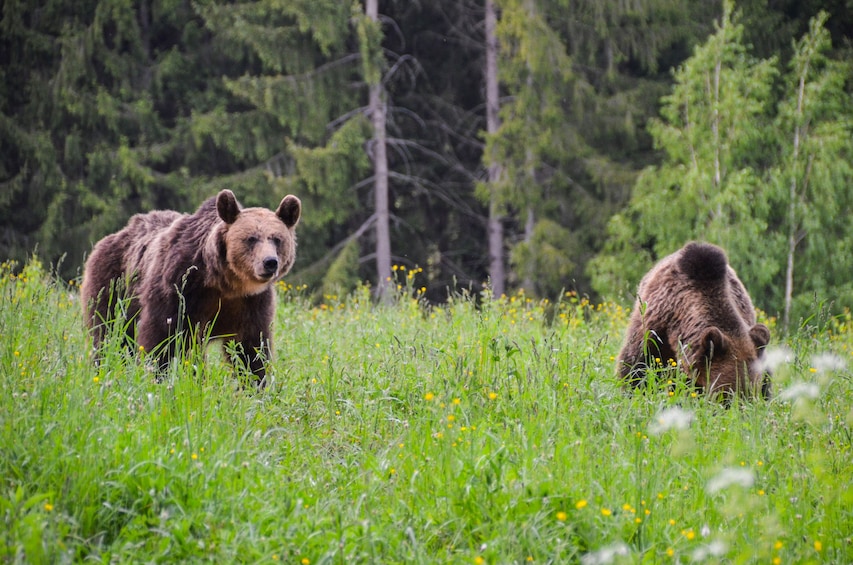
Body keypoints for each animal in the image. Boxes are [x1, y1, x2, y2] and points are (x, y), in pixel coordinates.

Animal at [80, 188, 300, 384]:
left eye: (277, 239)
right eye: (251, 239)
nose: (269, 262)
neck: (225, 282)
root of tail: (115, 235)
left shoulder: (251, 303)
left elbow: (251, 348)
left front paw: (255, 384)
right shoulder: (179, 288)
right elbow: (163, 338)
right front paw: (160, 377)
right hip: (113, 287)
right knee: (109, 333)